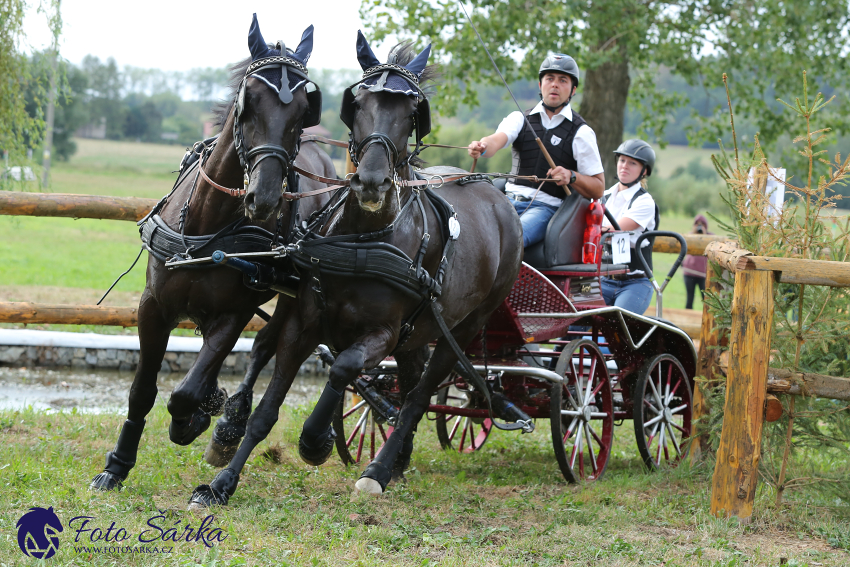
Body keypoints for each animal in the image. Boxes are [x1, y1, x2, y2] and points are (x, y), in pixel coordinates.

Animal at [90, 13, 334, 492]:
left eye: (303, 110)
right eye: (249, 101)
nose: (265, 198)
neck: (207, 227)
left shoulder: (233, 313)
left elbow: (185, 391)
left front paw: (197, 417)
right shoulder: (153, 305)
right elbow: (143, 390)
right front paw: (117, 465)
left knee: (265, 345)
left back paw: (229, 424)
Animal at [188, 33, 520, 508]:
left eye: (412, 112)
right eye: (358, 103)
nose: (371, 182)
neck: (362, 239)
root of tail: (498, 197)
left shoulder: (381, 333)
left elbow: (344, 367)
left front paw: (315, 439)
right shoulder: (305, 321)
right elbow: (268, 407)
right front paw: (221, 484)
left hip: (463, 330)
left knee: (418, 396)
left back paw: (378, 470)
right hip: (418, 331)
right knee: (408, 381)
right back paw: (395, 461)